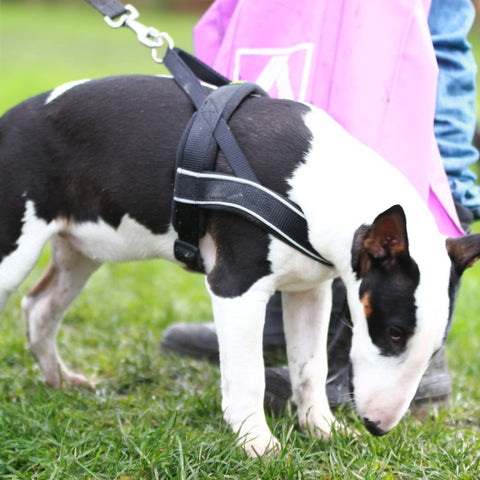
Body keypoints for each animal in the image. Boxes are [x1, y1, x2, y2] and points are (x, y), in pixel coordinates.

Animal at [0, 73, 480, 456]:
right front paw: (257, 443)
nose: (378, 428)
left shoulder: (310, 291)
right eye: (394, 333)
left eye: (436, 347)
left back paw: (59, 381)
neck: (323, 183)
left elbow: (310, 366)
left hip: (81, 251)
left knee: (39, 308)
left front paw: (322, 429)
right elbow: (249, 374)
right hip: (15, 249)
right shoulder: (236, 287)